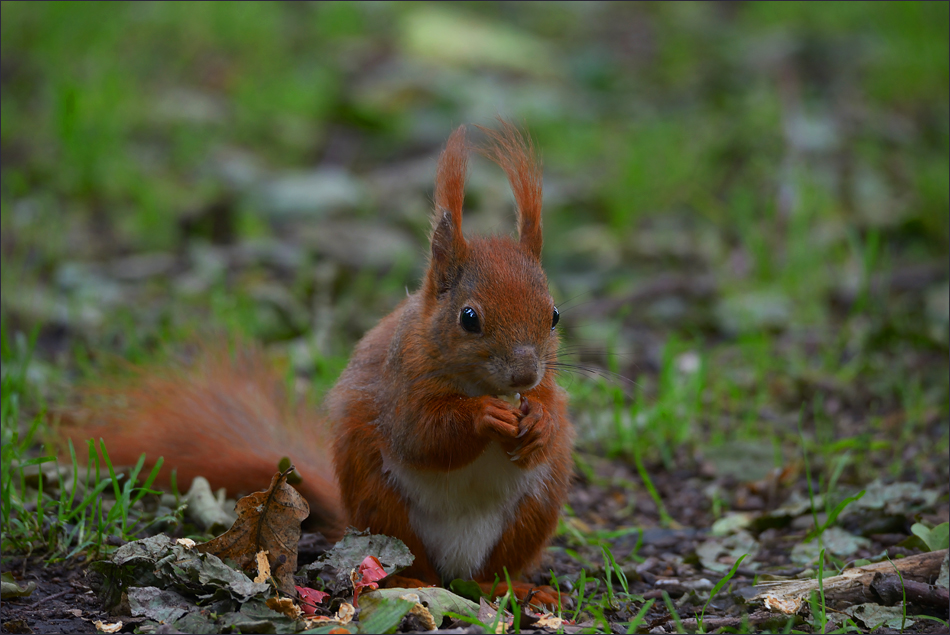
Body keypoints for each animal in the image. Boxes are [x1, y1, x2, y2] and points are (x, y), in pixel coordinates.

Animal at [67, 121, 576, 604]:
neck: (476, 383)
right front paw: (485, 416)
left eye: (554, 315)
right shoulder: (401, 382)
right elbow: (421, 435)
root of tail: (455, 568)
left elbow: (548, 417)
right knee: (415, 558)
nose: (524, 374)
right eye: (469, 318)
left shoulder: (546, 389)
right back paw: (407, 578)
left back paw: (516, 589)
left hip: (534, 510)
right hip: (380, 501)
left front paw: (540, 422)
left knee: (492, 572)